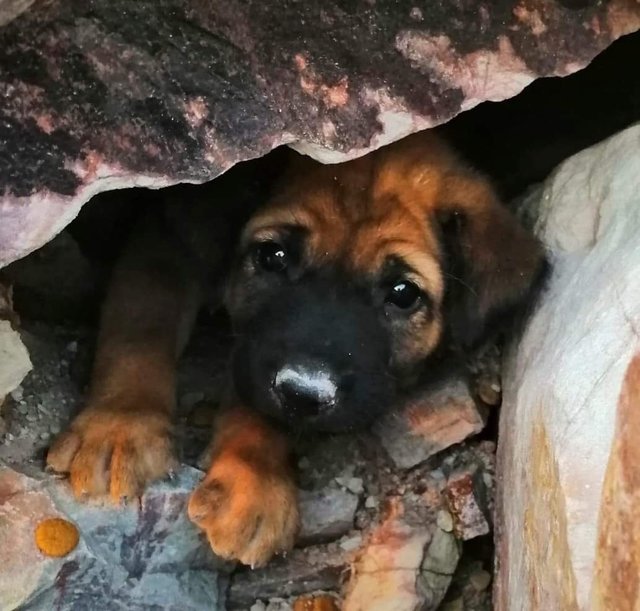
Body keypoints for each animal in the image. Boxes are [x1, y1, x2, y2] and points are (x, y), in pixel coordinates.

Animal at [46, 133, 544, 568]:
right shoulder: (167, 244)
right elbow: (140, 329)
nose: (305, 391)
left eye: (403, 294)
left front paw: (254, 483)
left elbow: (265, 407)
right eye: (273, 257)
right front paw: (119, 428)